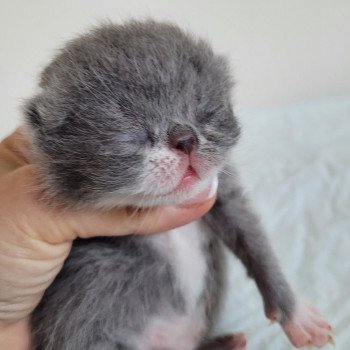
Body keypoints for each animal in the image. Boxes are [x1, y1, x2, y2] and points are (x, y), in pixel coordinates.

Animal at [23, 19, 332, 350]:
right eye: (132, 133)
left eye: (205, 113)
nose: (185, 138)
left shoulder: (222, 195)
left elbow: (256, 245)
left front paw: (296, 315)